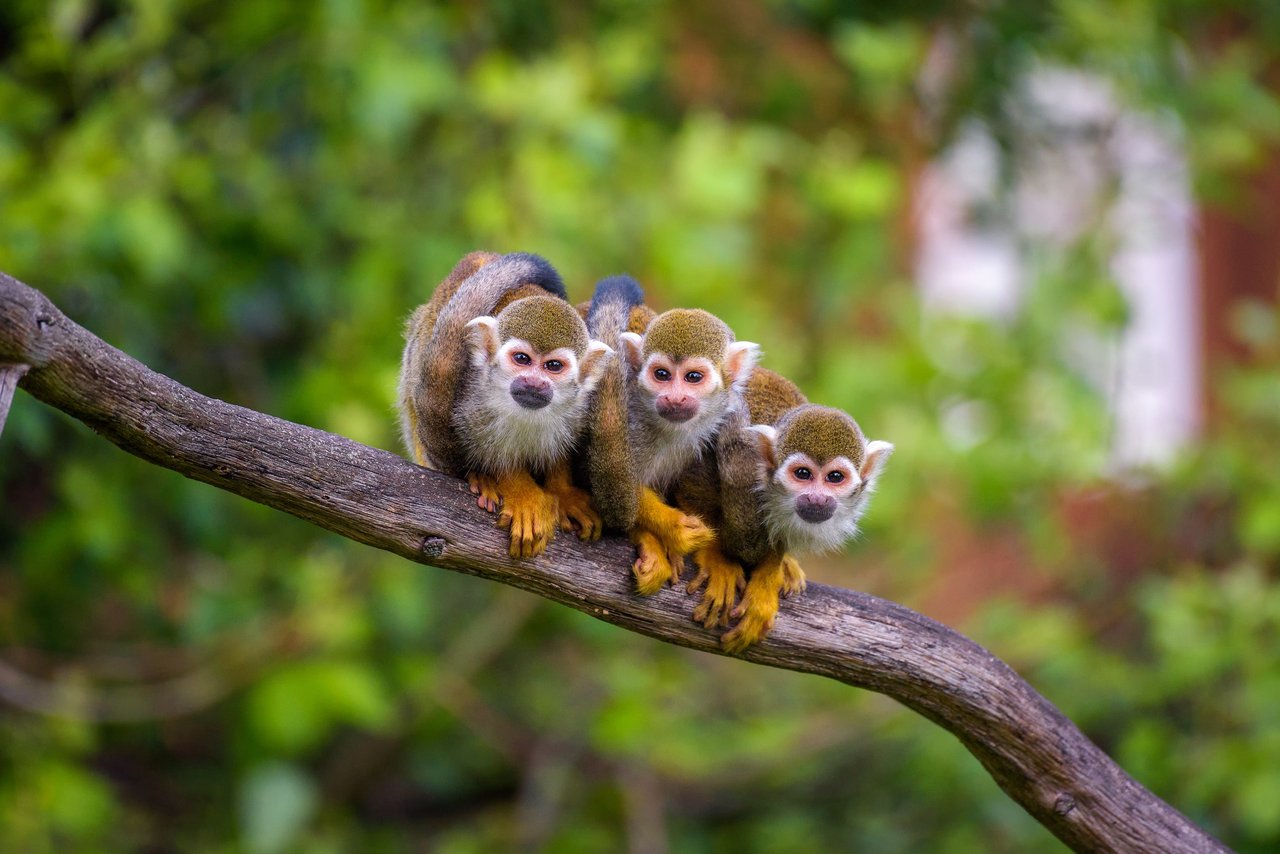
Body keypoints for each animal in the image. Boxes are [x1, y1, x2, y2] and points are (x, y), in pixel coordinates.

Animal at [398, 251, 612, 558]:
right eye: (521, 359)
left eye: (553, 366)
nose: (533, 383)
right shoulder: (470, 398)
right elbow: (488, 452)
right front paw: (520, 492)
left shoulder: (583, 404)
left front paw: (562, 491)